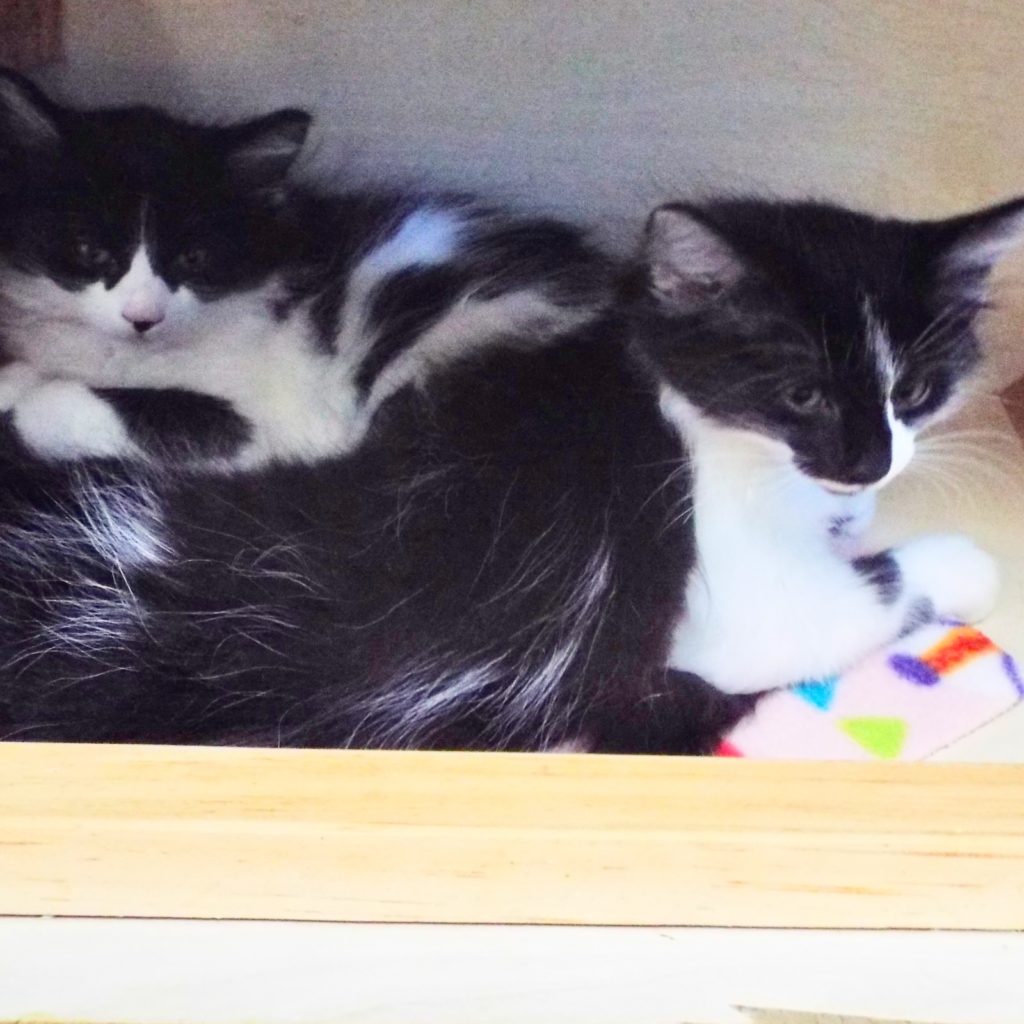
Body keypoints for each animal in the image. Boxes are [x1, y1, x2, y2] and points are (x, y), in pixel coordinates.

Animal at [0, 68, 610, 468]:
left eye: (194, 259)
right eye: (90, 251)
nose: (142, 318)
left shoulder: (274, 421)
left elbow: (64, 403)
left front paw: (34, 403)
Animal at [0, 195, 1016, 751]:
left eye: (915, 389)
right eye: (800, 394)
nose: (870, 462)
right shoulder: (727, 604)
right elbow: (866, 591)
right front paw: (965, 567)